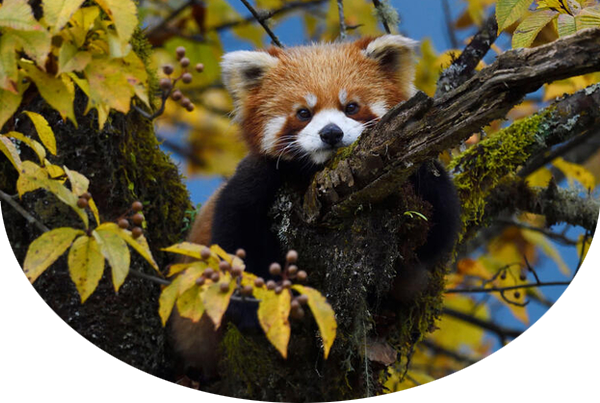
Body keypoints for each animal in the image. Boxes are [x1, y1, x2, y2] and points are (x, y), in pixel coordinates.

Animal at [171, 34, 462, 378]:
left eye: (351, 107)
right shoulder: (254, 180)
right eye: (303, 113)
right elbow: (235, 239)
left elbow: (437, 232)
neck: (316, 173)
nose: (331, 133)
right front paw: (254, 308)